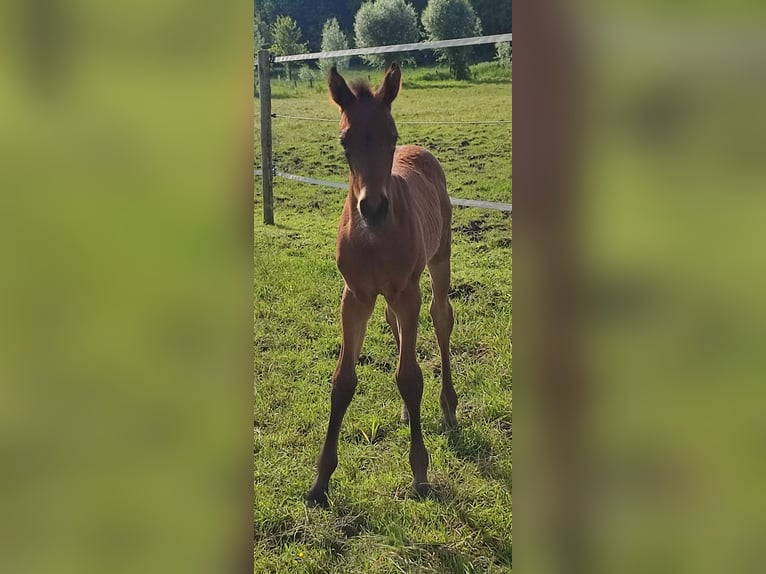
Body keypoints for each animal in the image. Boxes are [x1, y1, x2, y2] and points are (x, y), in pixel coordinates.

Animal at [308, 65, 460, 510]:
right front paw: (320, 482)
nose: (373, 207)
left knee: (441, 319)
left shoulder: (408, 291)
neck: (374, 238)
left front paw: (420, 474)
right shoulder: (355, 297)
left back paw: (448, 407)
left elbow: (410, 377)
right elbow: (343, 381)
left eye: (390, 134)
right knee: (395, 324)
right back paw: (411, 413)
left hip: (439, 261)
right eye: (344, 140)